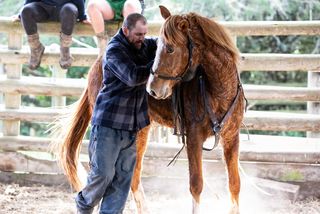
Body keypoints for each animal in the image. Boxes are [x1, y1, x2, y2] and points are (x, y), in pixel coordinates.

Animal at [55, 5, 245, 214]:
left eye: (170, 48)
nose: (153, 89)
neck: (218, 90)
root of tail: (98, 63)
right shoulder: (194, 138)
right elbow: (196, 185)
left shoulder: (232, 137)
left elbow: (234, 184)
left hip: (141, 133)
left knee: (133, 175)